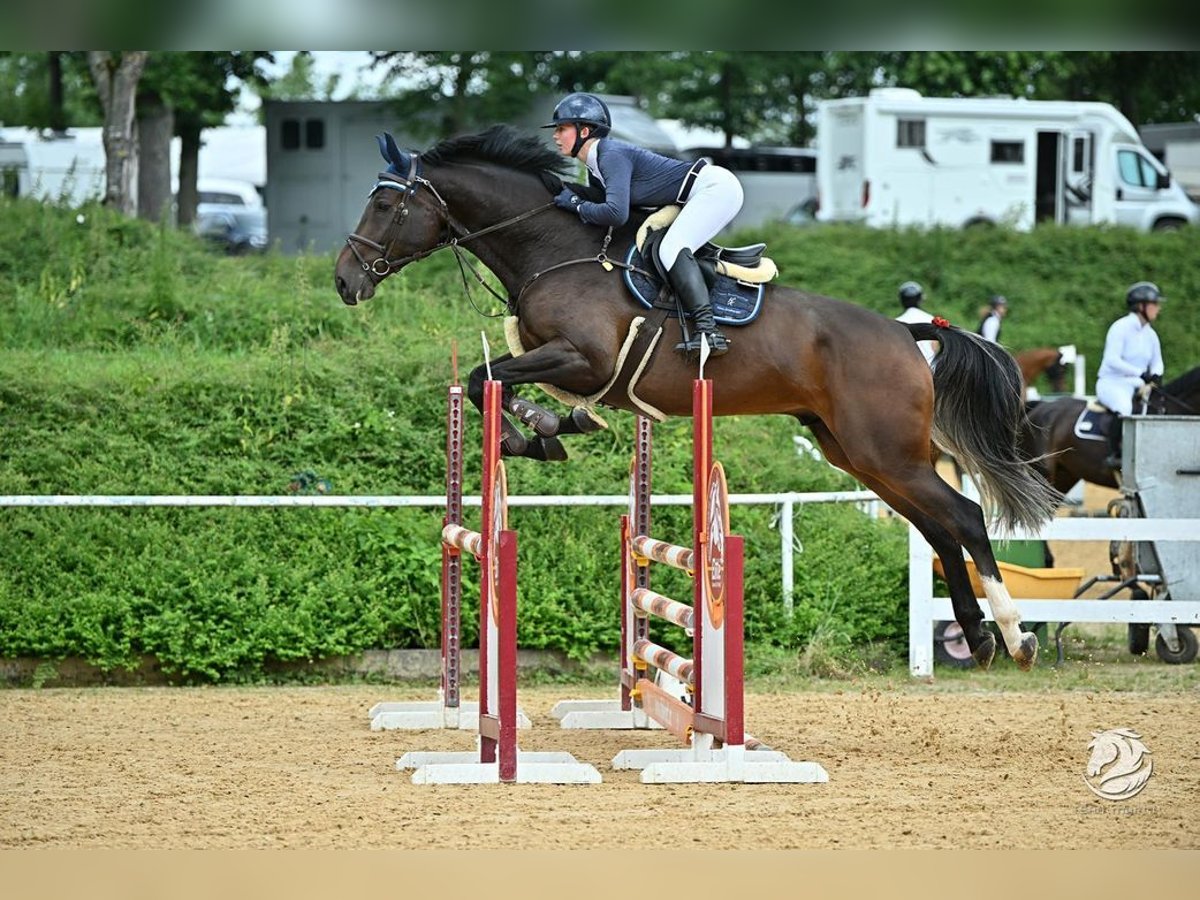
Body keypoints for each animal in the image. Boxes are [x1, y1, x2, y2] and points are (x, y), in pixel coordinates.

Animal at [336, 123, 1060, 672]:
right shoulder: (563, 363)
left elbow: (494, 379)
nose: (346, 281)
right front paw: (546, 431)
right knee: (937, 528)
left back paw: (1014, 634)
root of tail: (905, 332)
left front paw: (539, 429)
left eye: (388, 207)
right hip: (860, 455)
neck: (551, 248)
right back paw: (978, 636)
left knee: (964, 517)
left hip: (888, 453)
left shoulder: (583, 358)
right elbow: (494, 382)